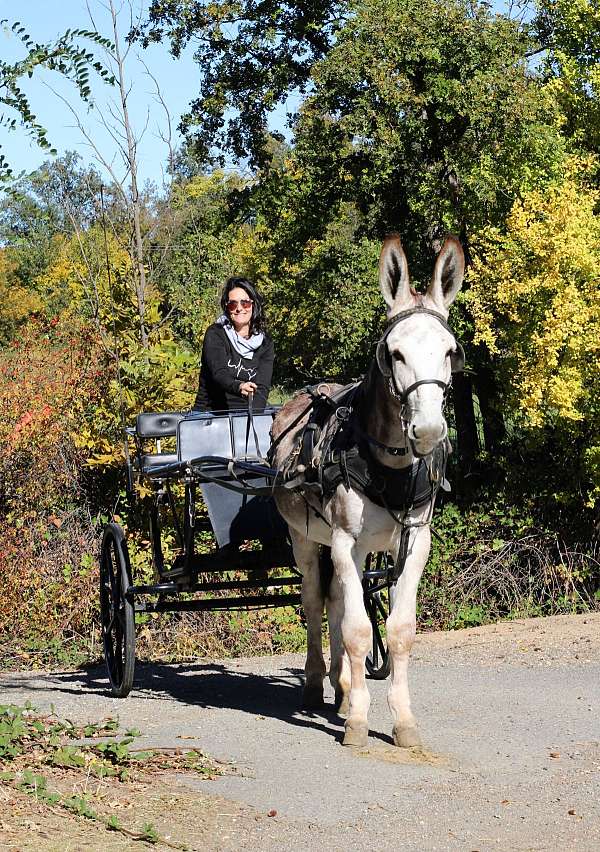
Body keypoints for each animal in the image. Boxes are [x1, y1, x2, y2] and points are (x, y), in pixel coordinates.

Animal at [271, 233, 465, 748]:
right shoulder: (342, 541)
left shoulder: (414, 542)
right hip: (305, 539)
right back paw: (317, 683)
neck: (387, 464)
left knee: (339, 603)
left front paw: (401, 720)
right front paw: (358, 721)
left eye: (449, 351)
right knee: (316, 603)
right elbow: (359, 630)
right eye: (394, 352)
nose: (429, 430)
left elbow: (397, 630)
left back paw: (341, 690)